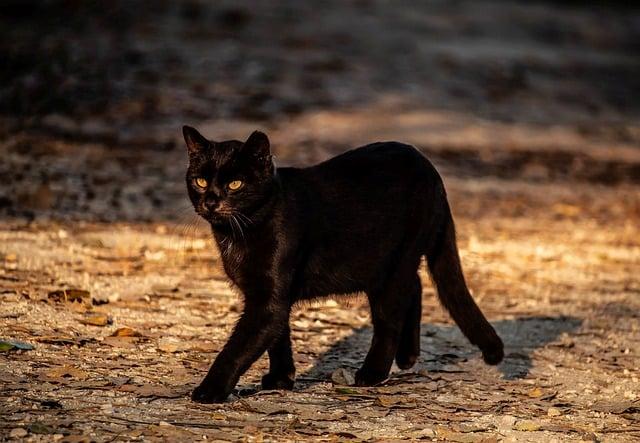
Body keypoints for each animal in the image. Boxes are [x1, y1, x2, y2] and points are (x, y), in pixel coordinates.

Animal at [182, 126, 502, 404]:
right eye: (200, 181)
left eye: (235, 184)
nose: (211, 201)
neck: (238, 234)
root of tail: (429, 167)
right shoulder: (268, 296)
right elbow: (278, 337)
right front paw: (281, 379)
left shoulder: (268, 300)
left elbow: (238, 347)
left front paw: (209, 391)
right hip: (383, 266)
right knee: (415, 287)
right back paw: (407, 356)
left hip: (394, 264)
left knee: (390, 319)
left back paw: (372, 373)